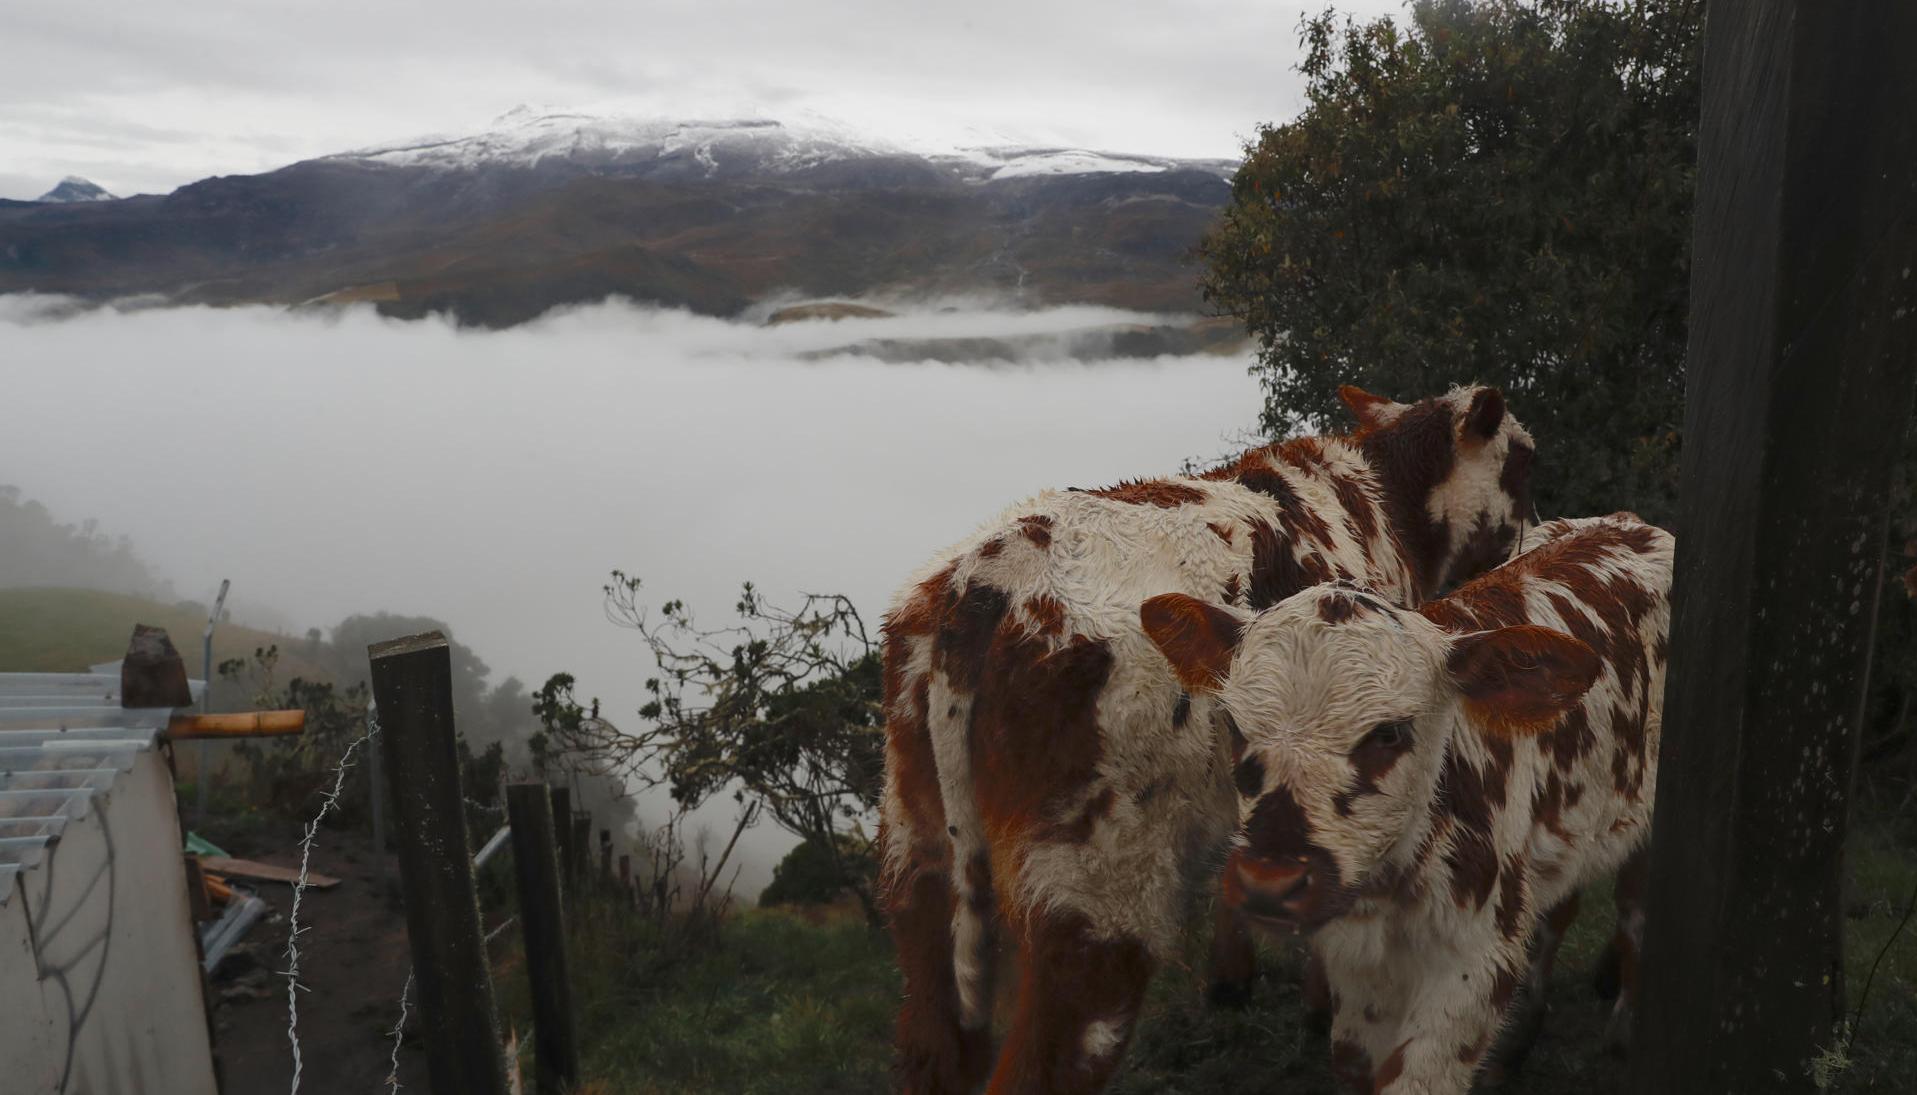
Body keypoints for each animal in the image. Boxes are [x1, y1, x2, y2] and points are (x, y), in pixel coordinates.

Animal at [879, 384, 1537, 1094]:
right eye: (1523, 463)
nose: (1528, 535)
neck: (1385, 502)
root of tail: (987, 582)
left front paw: (1231, 979)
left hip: (920, 857)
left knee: (933, 1038)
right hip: (1098, 891)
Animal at [1140, 512, 1673, 1094]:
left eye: (1389, 733)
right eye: (1236, 726)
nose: (1269, 883)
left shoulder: (1474, 964)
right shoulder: (1357, 971)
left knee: (1637, 910)